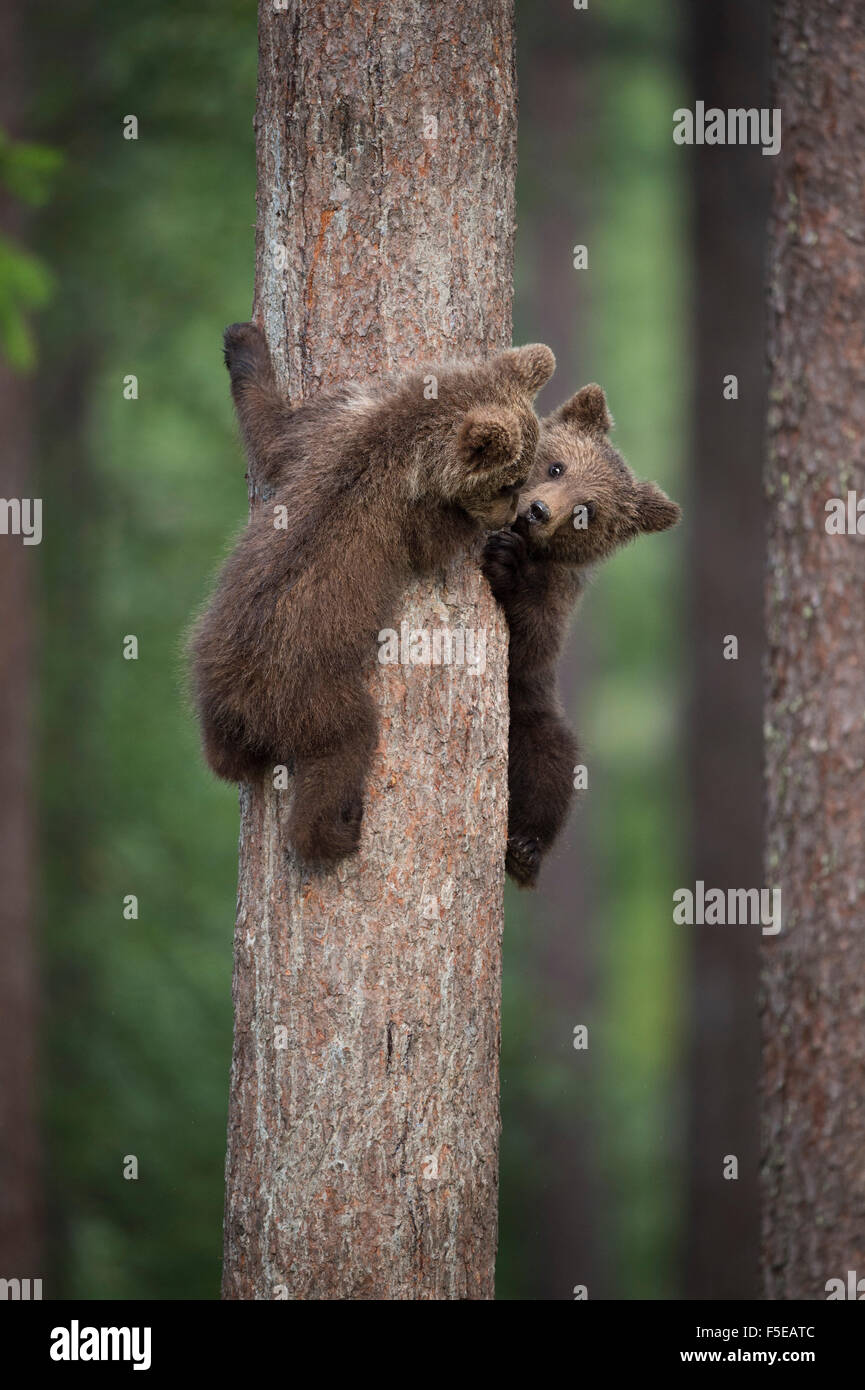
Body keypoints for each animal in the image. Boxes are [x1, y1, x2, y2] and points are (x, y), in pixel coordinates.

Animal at [188, 321, 556, 865]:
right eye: (508, 482)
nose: (516, 511)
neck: (405, 433)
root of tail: (241, 696)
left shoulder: (327, 426)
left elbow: (273, 431)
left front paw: (242, 341)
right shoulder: (403, 511)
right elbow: (431, 543)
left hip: (205, 665)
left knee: (220, 753)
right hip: (311, 693)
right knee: (347, 741)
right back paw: (338, 830)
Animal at [482, 383, 680, 888]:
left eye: (585, 511)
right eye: (557, 466)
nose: (537, 510)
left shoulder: (558, 594)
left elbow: (531, 642)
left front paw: (506, 561)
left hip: (530, 717)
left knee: (553, 762)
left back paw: (525, 850)